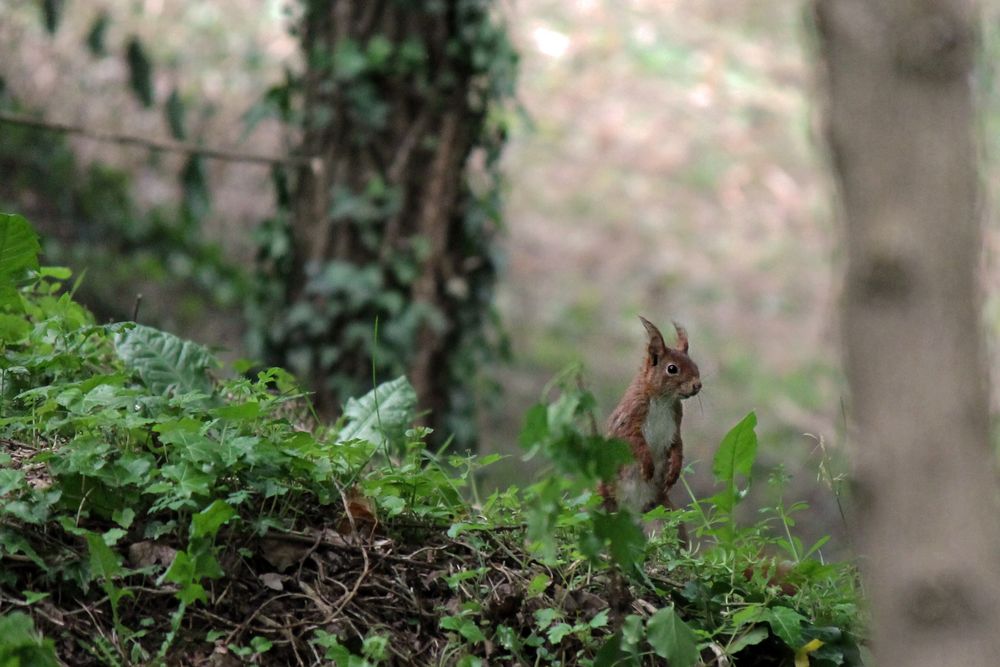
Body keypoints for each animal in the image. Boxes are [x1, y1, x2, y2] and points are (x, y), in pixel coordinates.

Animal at [600, 318, 704, 520]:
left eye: (695, 364)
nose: (697, 385)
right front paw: (648, 466)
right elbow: (634, 440)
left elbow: (677, 445)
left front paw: (674, 472)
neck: (663, 400)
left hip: (664, 511)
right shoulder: (630, 415)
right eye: (672, 368)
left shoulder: (675, 421)